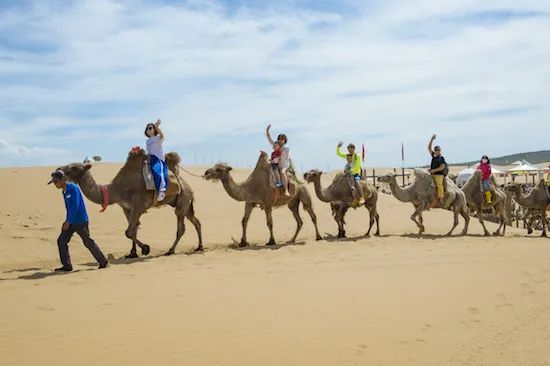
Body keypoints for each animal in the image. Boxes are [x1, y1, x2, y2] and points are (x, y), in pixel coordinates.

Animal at [60, 147, 203, 256]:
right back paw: (200, 247)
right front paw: (133, 253)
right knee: (196, 221)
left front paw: (145, 248)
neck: (117, 189)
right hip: (185, 204)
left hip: (183, 200)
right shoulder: (126, 208)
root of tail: (189, 188)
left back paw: (171, 250)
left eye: (74, 167)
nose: (58, 171)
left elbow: (129, 232)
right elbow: (133, 229)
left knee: (181, 228)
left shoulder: (139, 206)